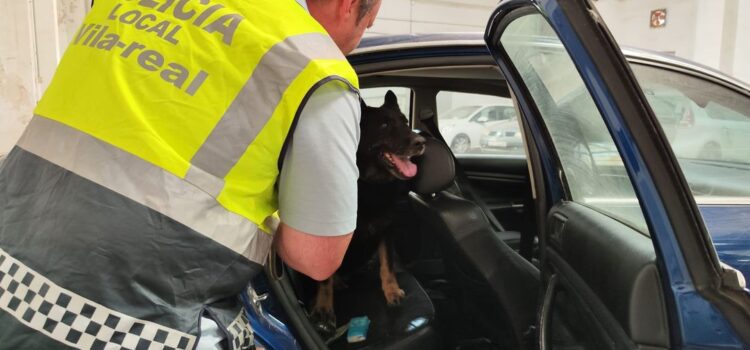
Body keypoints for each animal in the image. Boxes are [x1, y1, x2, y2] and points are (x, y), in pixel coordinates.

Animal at [308, 90, 426, 336]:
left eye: (405, 122)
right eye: (384, 125)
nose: (421, 142)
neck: (368, 183)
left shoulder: (387, 230)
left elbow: (388, 265)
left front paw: (392, 291)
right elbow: (324, 280)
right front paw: (323, 309)